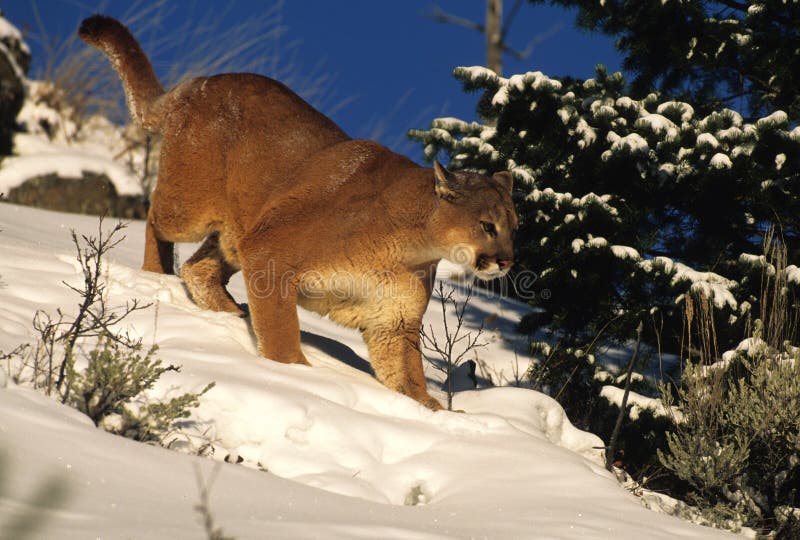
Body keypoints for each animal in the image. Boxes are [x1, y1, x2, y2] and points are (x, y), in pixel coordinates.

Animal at [81, 13, 516, 410]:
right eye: (487, 225)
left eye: (514, 227)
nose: (507, 262)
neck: (412, 246)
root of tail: (202, 80)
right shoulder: (271, 253)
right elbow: (281, 329)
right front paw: (293, 373)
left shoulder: (392, 321)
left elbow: (407, 375)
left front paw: (434, 411)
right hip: (191, 209)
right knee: (156, 219)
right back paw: (158, 274)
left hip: (238, 230)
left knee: (199, 269)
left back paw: (231, 313)